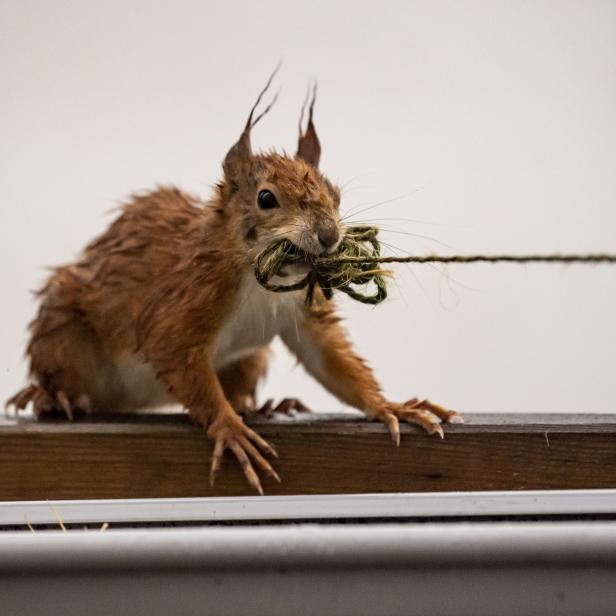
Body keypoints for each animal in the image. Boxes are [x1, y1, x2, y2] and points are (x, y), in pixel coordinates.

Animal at [7, 71, 462, 496]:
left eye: (336, 193)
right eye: (266, 198)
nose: (329, 235)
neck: (264, 284)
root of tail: (129, 403)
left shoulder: (303, 308)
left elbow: (332, 361)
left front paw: (391, 406)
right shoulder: (189, 295)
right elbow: (173, 350)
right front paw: (229, 429)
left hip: (249, 359)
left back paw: (268, 405)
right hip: (62, 330)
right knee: (59, 370)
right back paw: (53, 397)